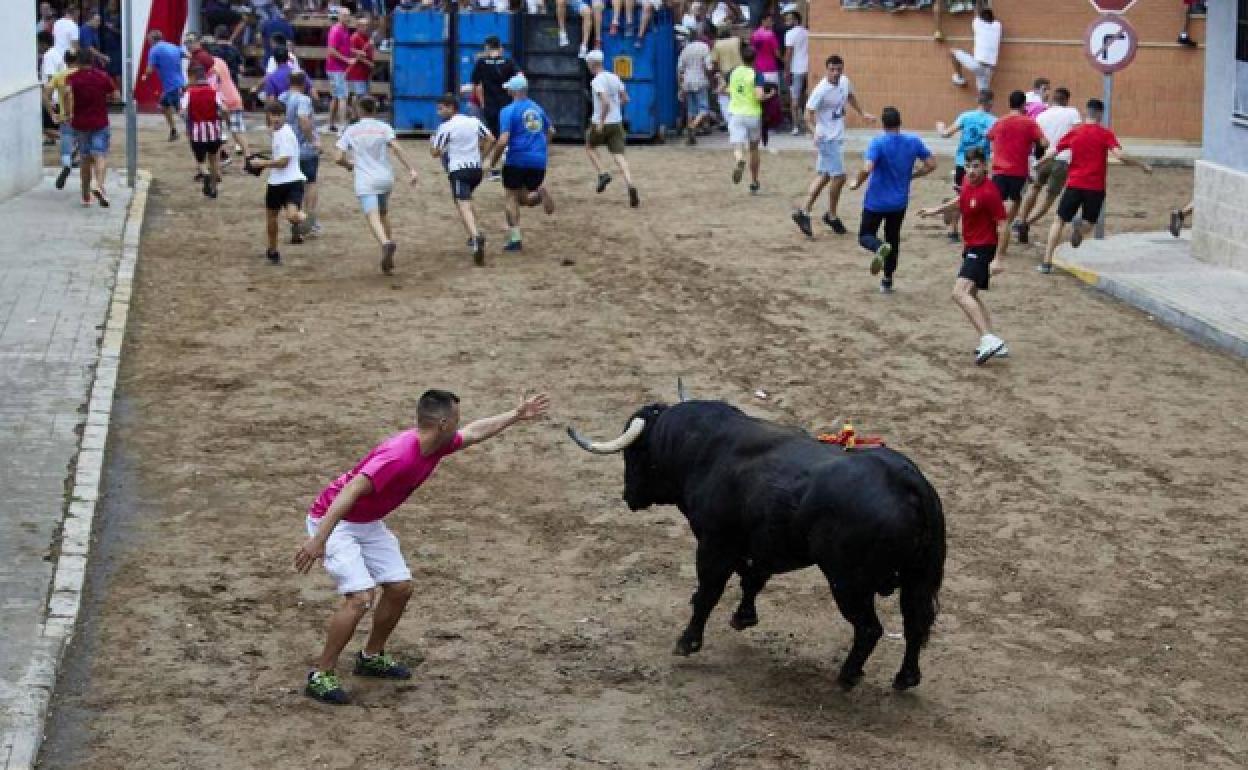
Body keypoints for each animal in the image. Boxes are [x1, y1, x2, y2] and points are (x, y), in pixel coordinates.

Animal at [569, 396, 943, 688]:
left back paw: (847, 676)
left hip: (848, 583)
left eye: (633, 454)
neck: (704, 448)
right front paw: (743, 617)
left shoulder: (714, 543)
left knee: (869, 629)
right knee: (915, 624)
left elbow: (709, 592)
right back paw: (905, 679)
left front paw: (688, 641)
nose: (628, 495)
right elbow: (752, 579)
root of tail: (907, 481)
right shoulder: (759, 545)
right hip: (917, 579)